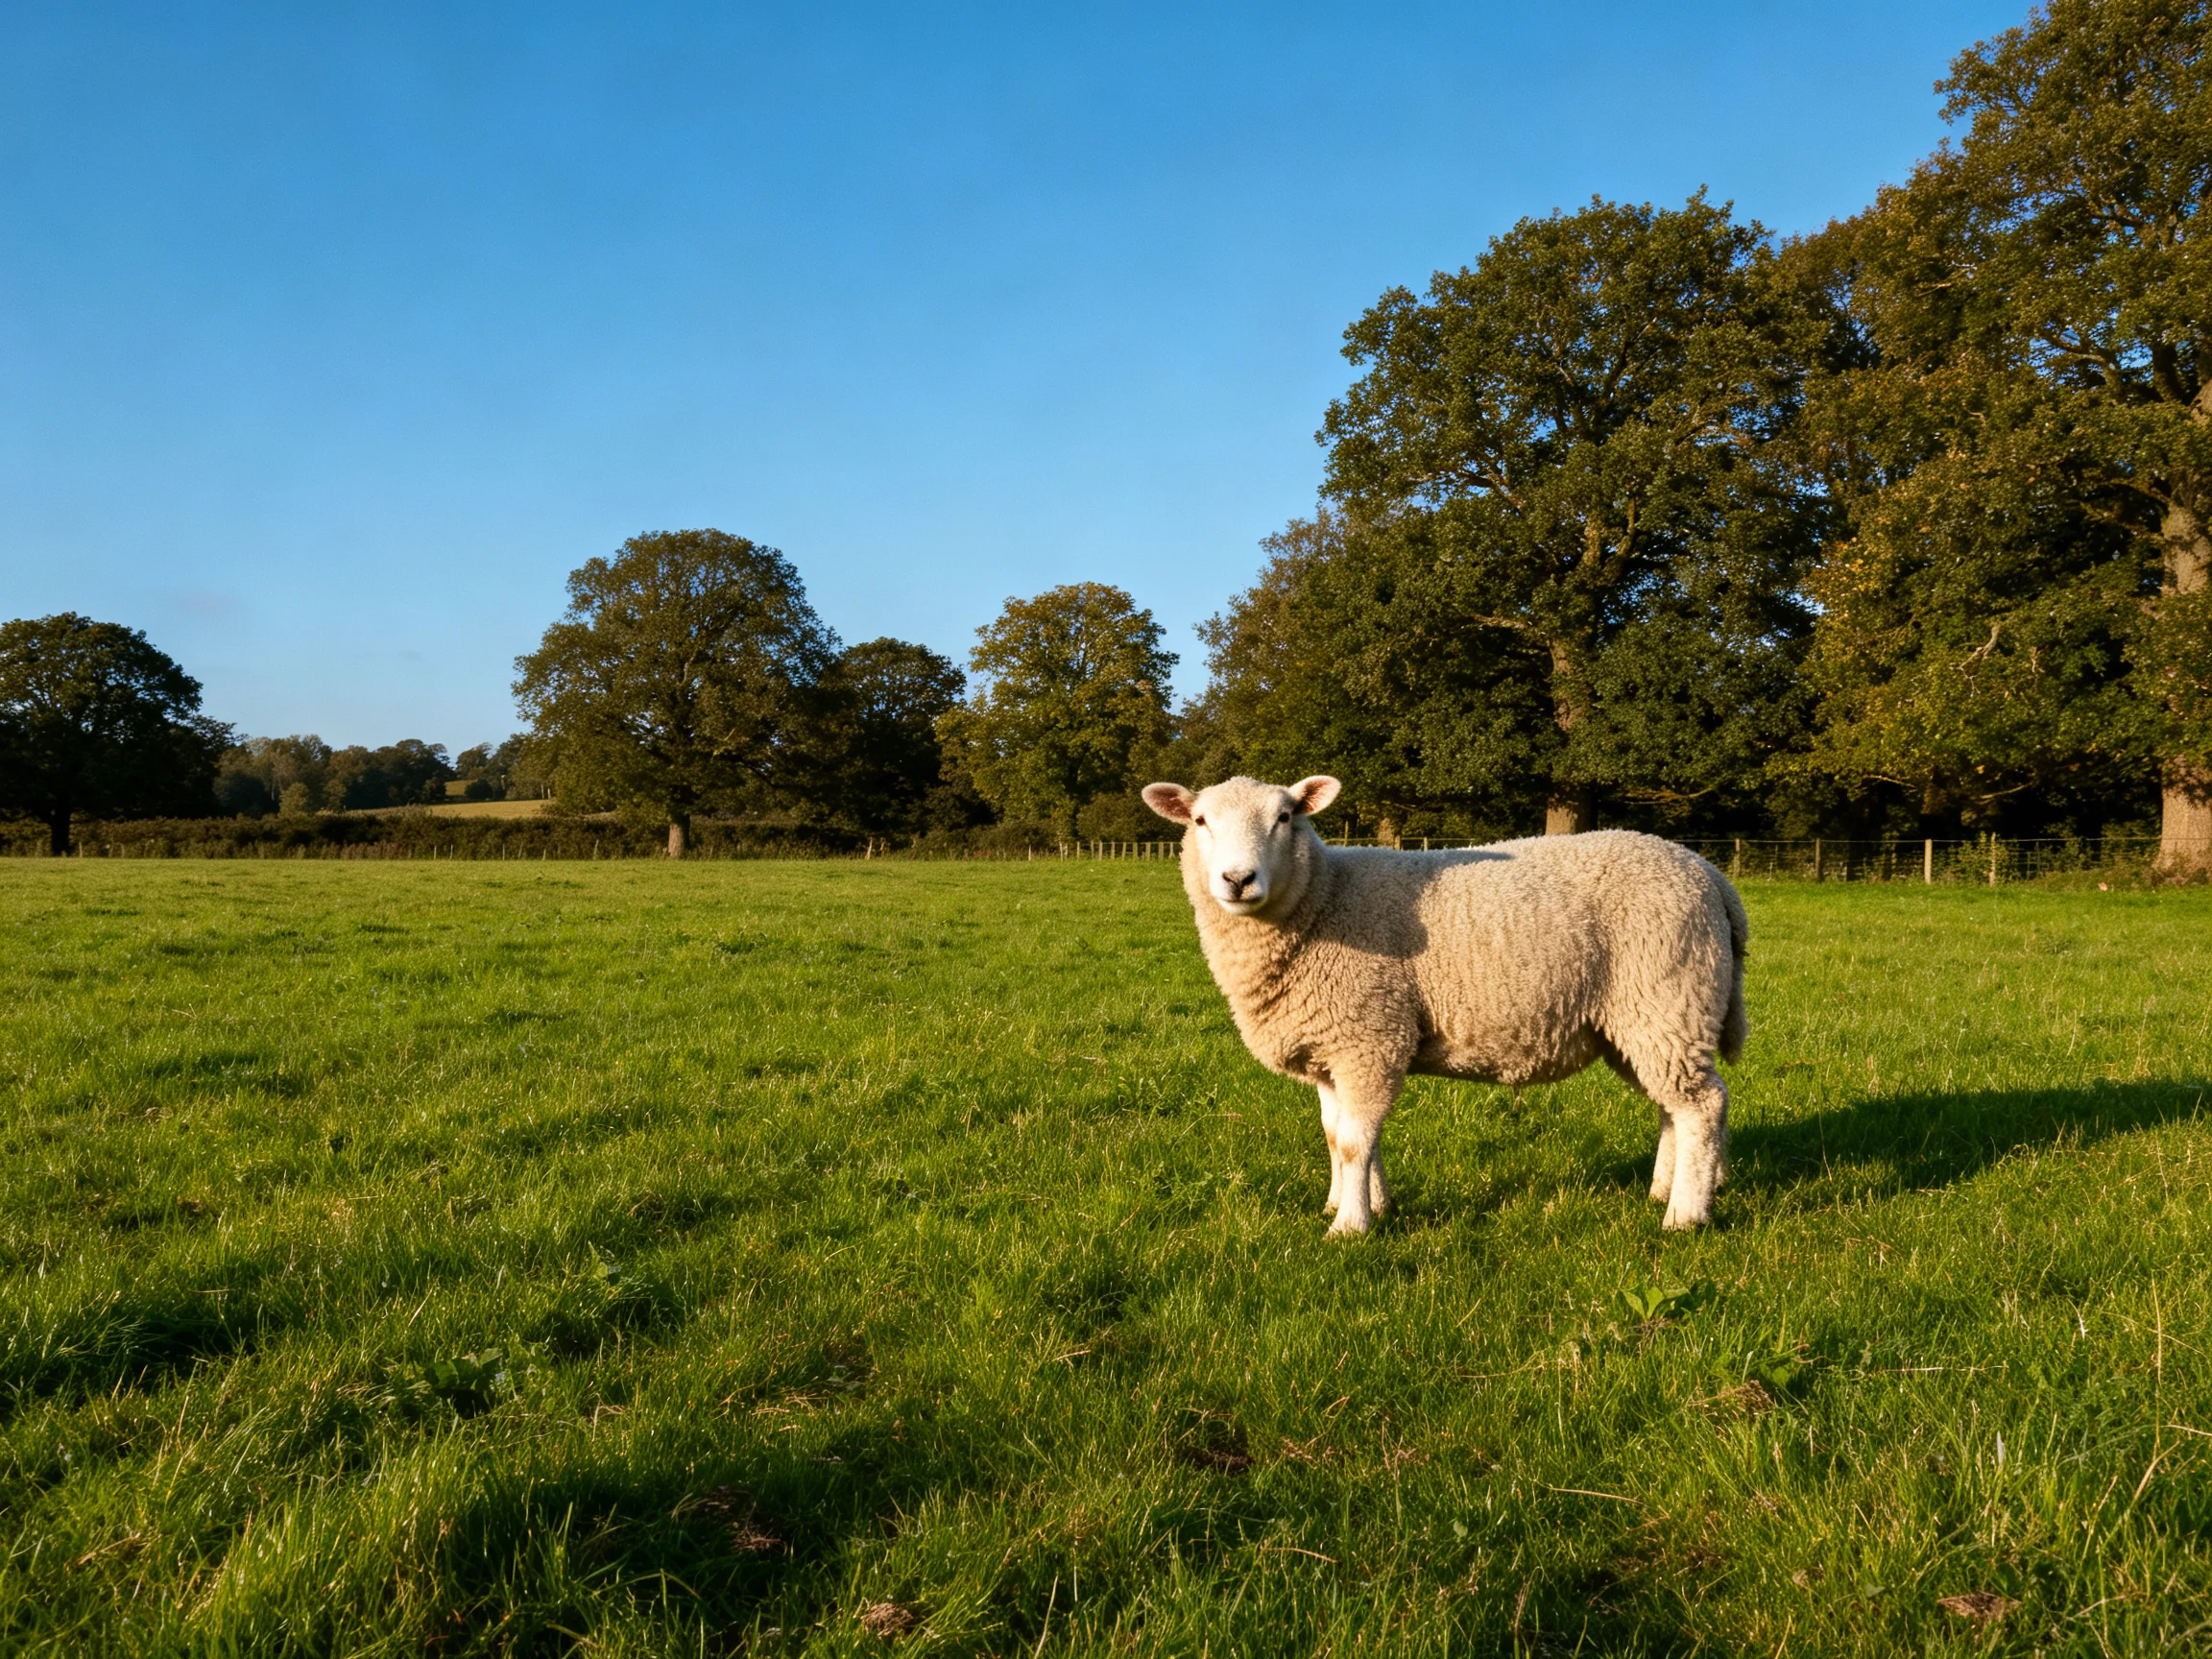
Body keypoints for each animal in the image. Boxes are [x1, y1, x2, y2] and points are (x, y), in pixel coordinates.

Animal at [1140, 774, 1747, 1234]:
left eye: (1286, 817)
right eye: (1200, 821)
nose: (1237, 879)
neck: (1324, 899)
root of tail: (1709, 874)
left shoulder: (1370, 1037)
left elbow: (1356, 1142)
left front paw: (1350, 1227)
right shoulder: (1331, 1047)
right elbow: (1337, 1137)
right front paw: (1357, 1203)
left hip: (1668, 996)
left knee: (1702, 1105)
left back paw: (1685, 1216)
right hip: (1639, 1020)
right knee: (1673, 1106)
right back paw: (1665, 1189)